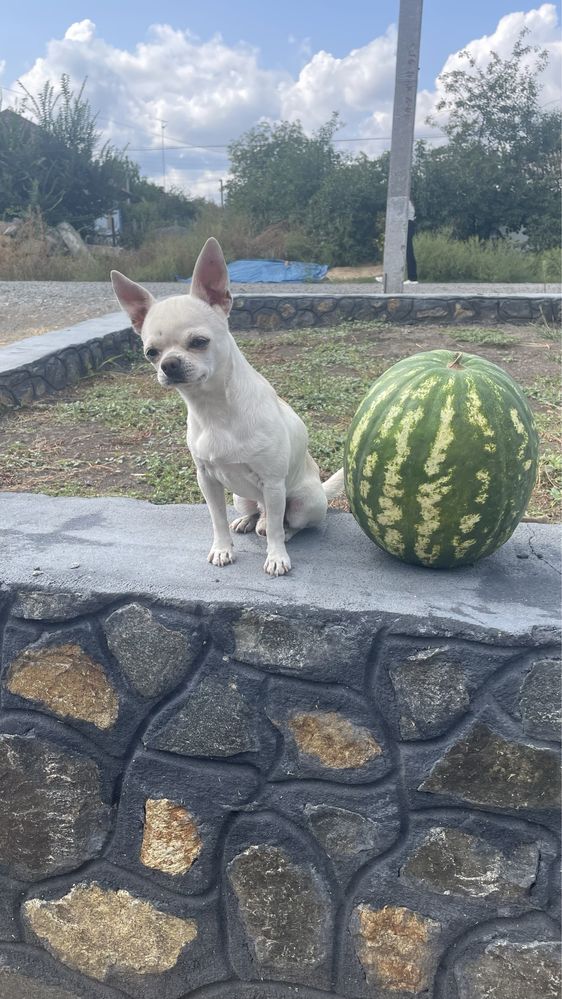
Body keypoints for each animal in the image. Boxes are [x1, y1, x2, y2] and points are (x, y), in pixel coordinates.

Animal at [110, 237, 342, 576]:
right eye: (151, 352)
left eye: (199, 342)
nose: (169, 364)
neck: (214, 409)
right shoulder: (207, 479)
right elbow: (216, 518)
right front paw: (222, 549)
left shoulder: (274, 484)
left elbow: (275, 527)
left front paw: (277, 556)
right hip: (239, 495)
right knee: (257, 510)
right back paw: (247, 520)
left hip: (302, 501)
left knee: (287, 521)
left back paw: (281, 530)